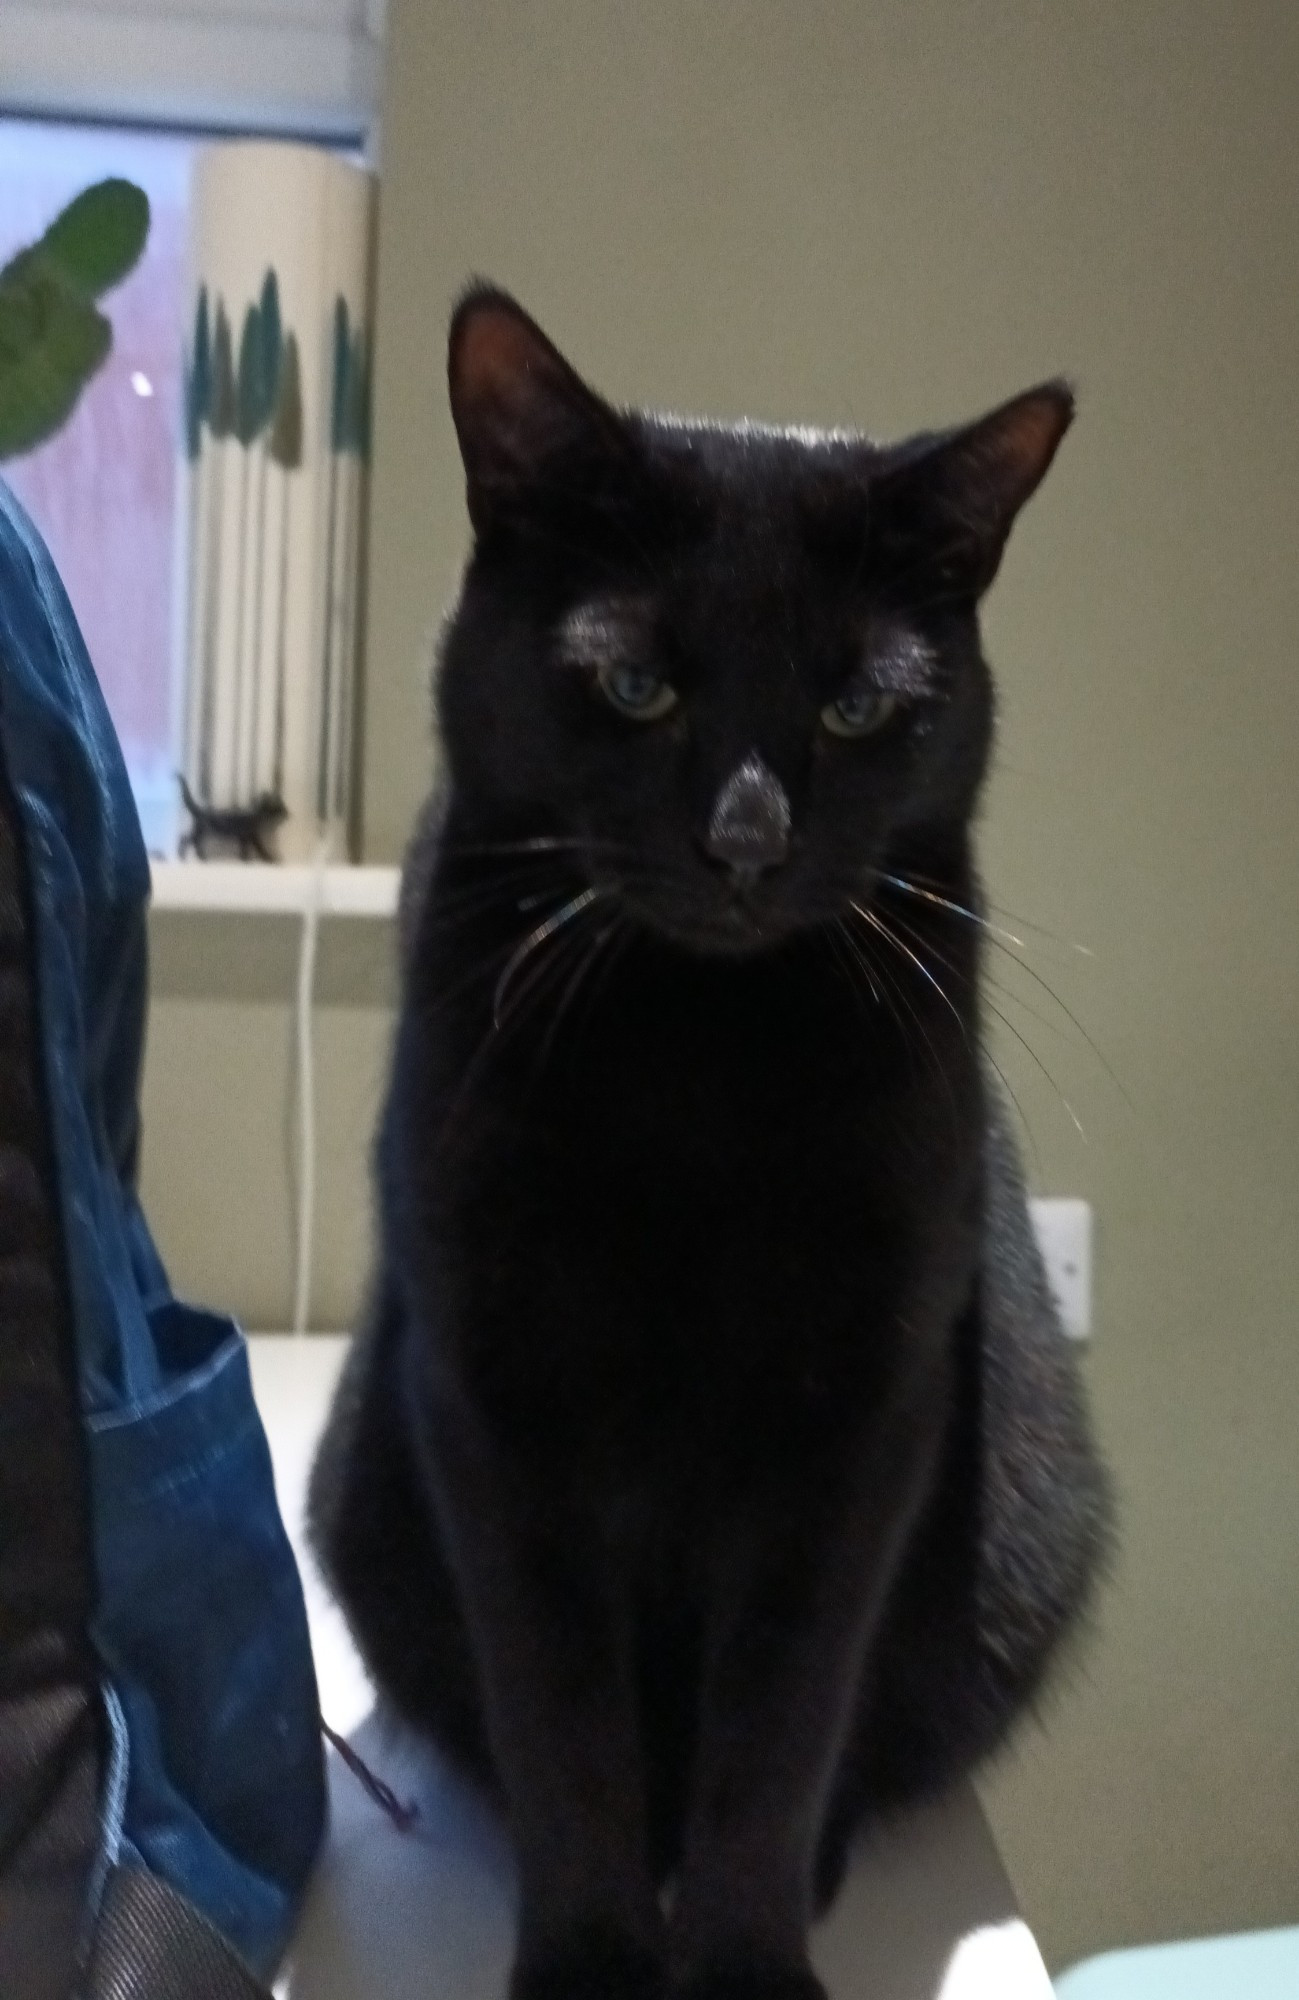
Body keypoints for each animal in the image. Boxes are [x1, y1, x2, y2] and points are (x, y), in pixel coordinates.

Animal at [307, 290, 1111, 2000]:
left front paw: (740, 1959)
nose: (745, 842)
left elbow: (777, 1723)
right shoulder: (493, 1401)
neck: (693, 1057)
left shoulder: (858, 1419)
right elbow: (563, 1726)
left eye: (855, 706)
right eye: (634, 688)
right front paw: (590, 1962)